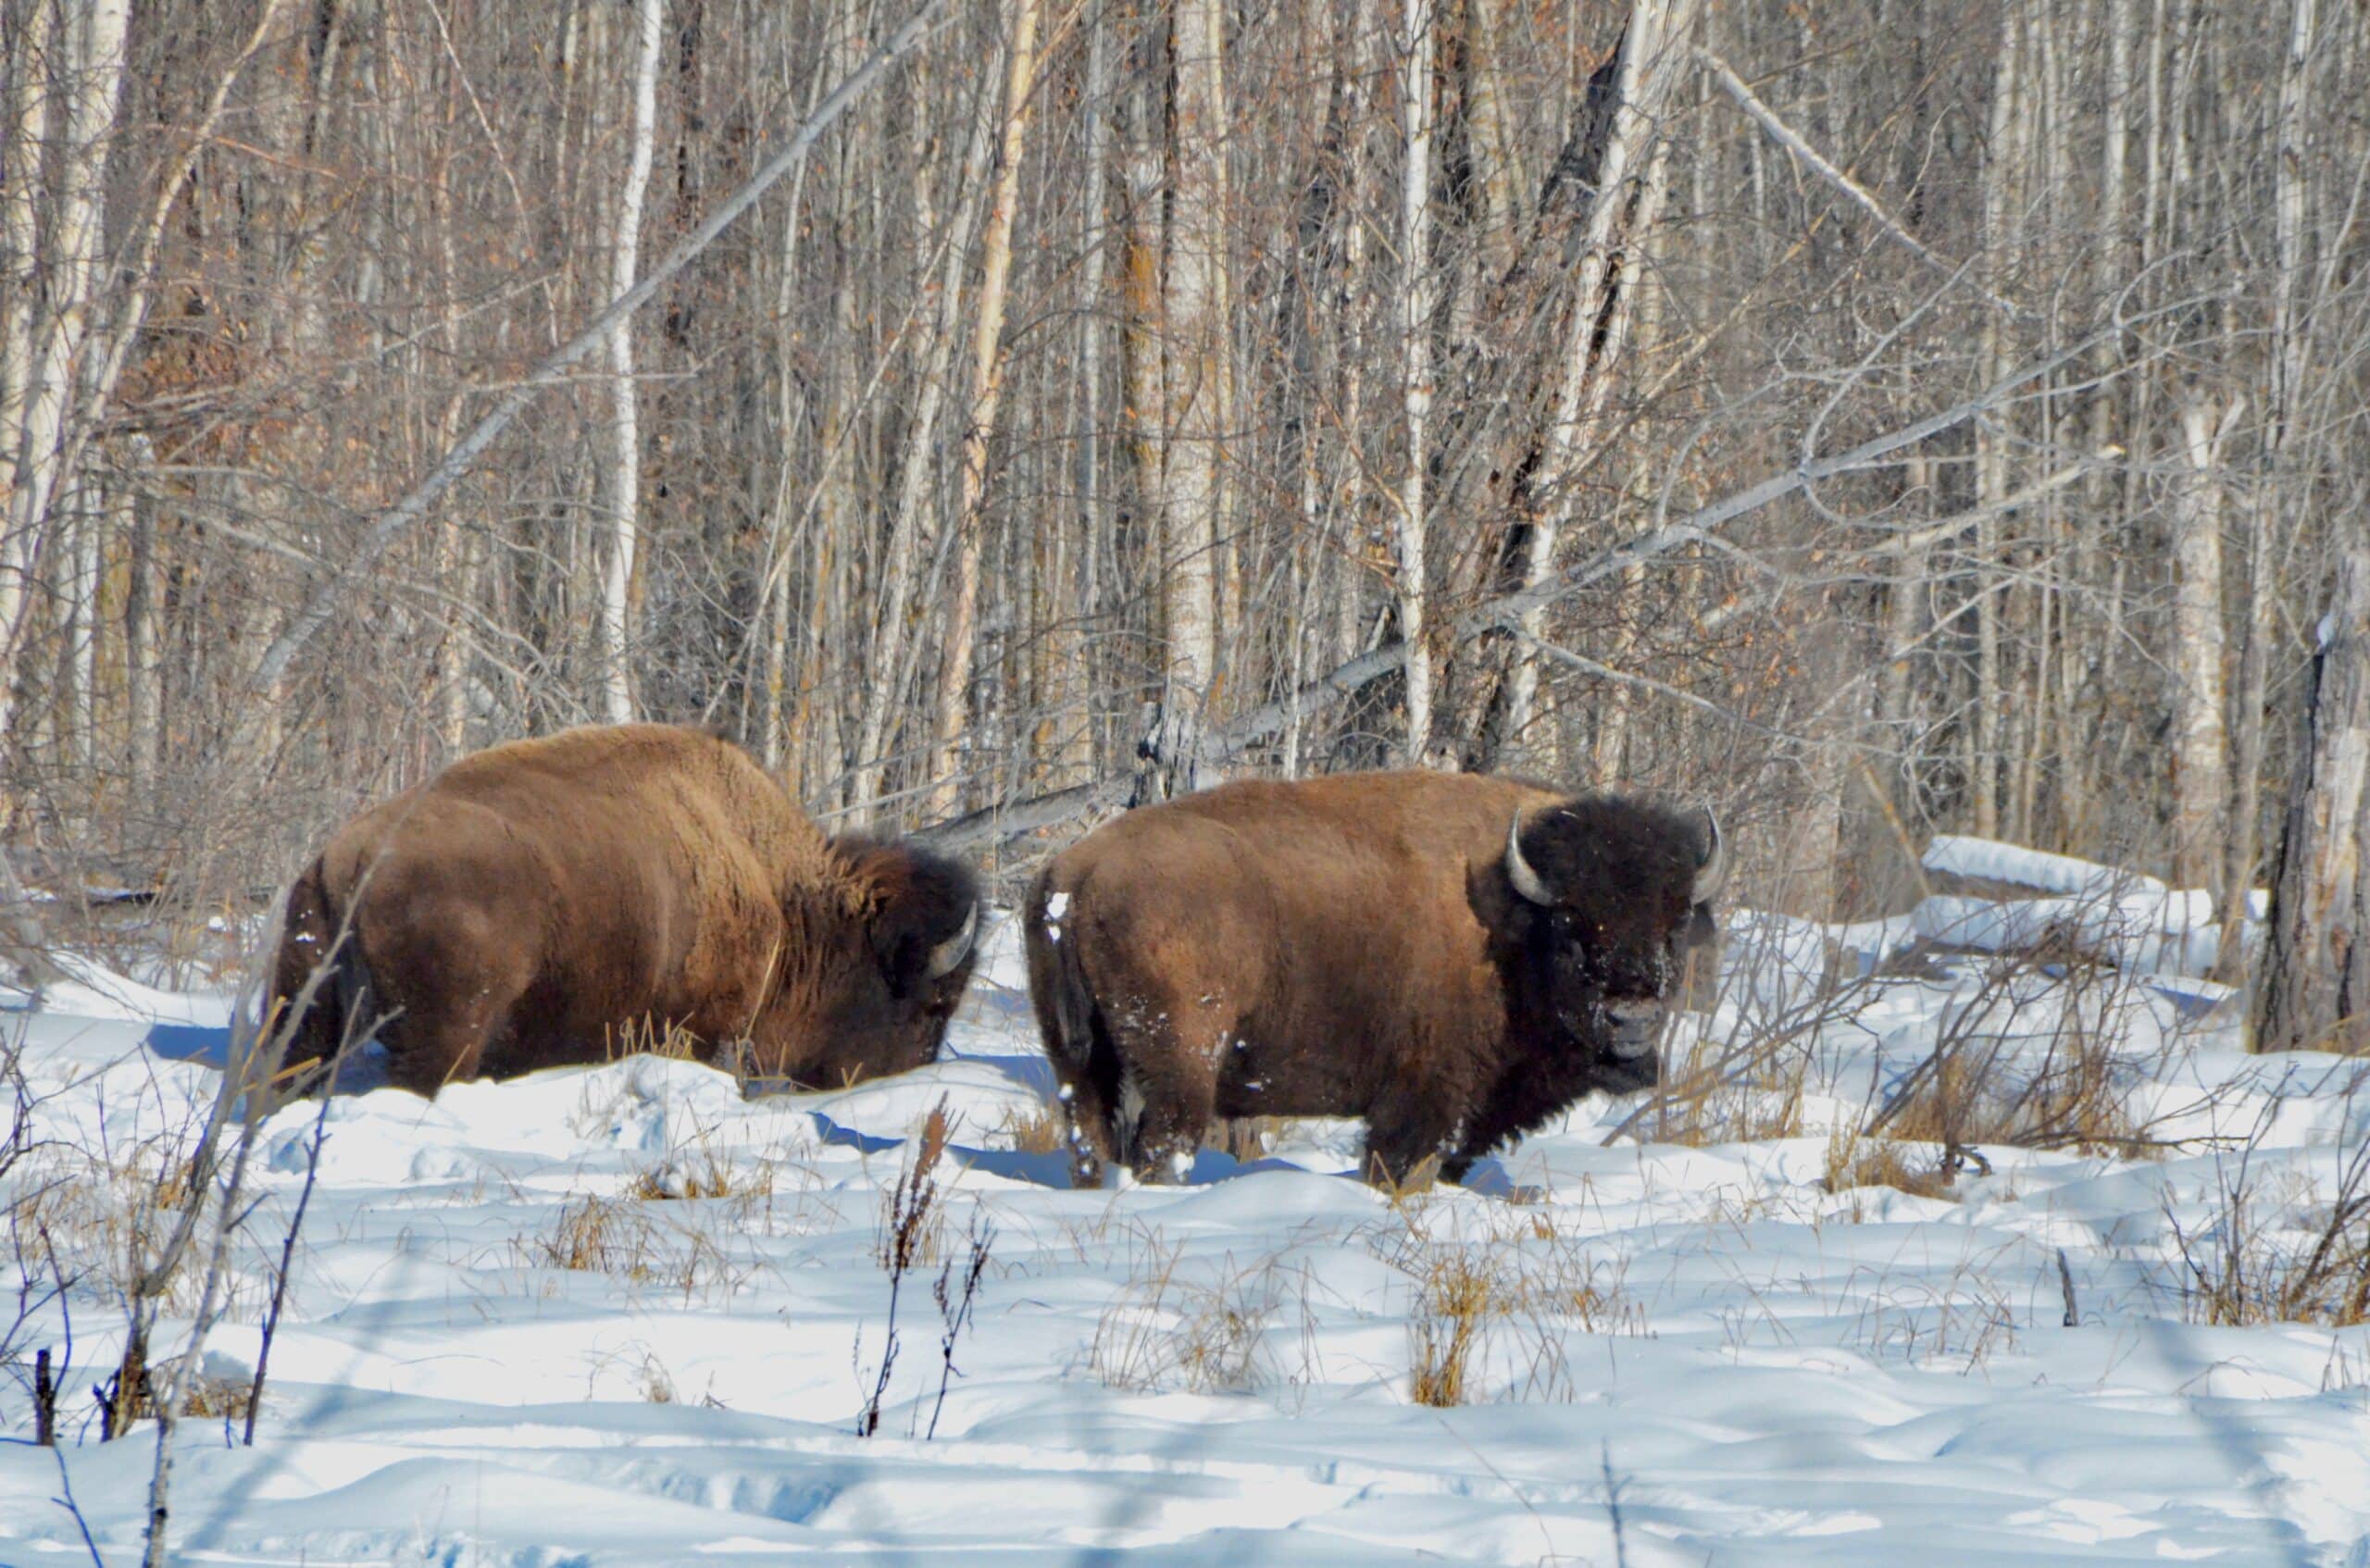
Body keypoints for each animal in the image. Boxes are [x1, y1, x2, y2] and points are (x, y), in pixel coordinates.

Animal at [270, 724, 979, 1096]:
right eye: (930, 1006)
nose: (920, 1068)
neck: (780, 896)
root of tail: (347, 859)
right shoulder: (706, 1025)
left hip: (303, 1010)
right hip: (444, 1035)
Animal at [1024, 771, 1725, 1187]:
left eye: (1675, 924)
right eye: (1573, 927)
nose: (1634, 1021)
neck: (1511, 911)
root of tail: (1077, 871)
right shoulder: (1425, 1098)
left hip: (1076, 1061)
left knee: (1090, 1138)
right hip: (1182, 1063)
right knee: (1161, 1145)